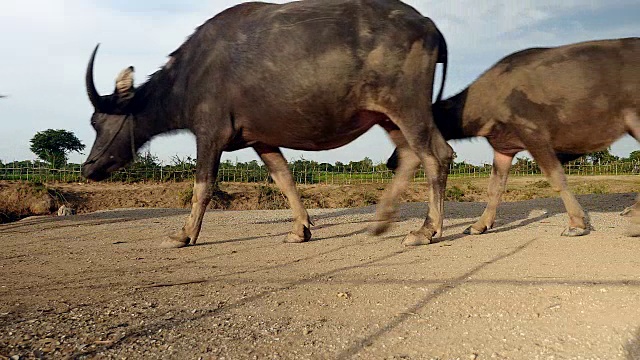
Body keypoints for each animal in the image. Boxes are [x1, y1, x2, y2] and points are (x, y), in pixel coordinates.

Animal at [82, 0, 452, 248]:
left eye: (98, 121)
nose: (88, 168)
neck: (188, 77)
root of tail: (429, 24)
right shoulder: (261, 139)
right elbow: (284, 179)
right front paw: (300, 228)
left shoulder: (210, 135)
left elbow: (203, 186)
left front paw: (184, 234)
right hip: (388, 116)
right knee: (412, 155)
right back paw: (383, 220)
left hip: (408, 108)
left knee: (436, 156)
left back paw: (426, 230)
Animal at [388, 37, 636, 236]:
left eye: (406, 134)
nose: (391, 163)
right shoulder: (503, 147)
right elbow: (494, 189)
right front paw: (479, 225)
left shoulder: (533, 134)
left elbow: (556, 178)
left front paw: (577, 224)